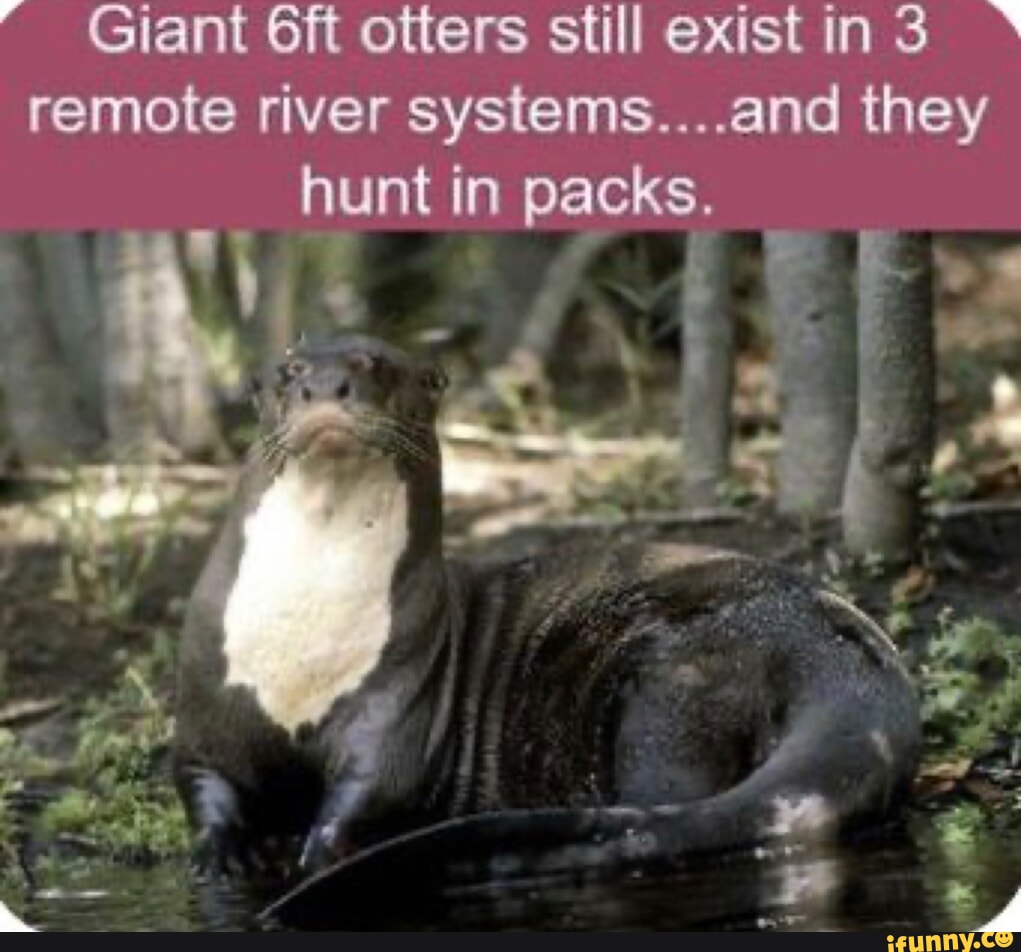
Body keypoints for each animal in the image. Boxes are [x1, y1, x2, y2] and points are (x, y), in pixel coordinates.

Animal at [173, 334, 920, 911]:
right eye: (288, 371)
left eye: (374, 364)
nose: (326, 386)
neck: (303, 646)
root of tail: (848, 668)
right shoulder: (206, 693)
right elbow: (201, 777)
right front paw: (221, 856)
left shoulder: (396, 696)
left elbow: (374, 783)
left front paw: (315, 853)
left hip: (676, 676)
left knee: (662, 802)